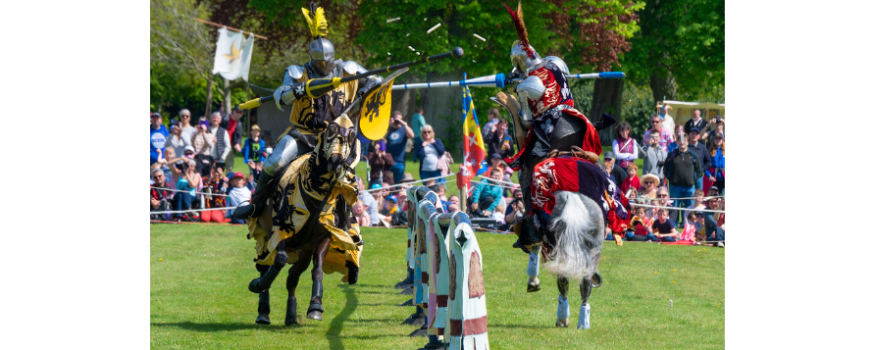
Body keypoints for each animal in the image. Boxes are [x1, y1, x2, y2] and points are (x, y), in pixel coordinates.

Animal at [243, 114, 362, 326]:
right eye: (329, 131)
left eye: (351, 135)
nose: (336, 160)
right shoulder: (280, 232)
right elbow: (279, 260)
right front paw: (258, 285)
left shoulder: (323, 237)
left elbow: (318, 270)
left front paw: (315, 306)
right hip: (264, 236)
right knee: (264, 266)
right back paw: (263, 311)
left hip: (303, 251)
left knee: (292, 277)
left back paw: (291, 315)